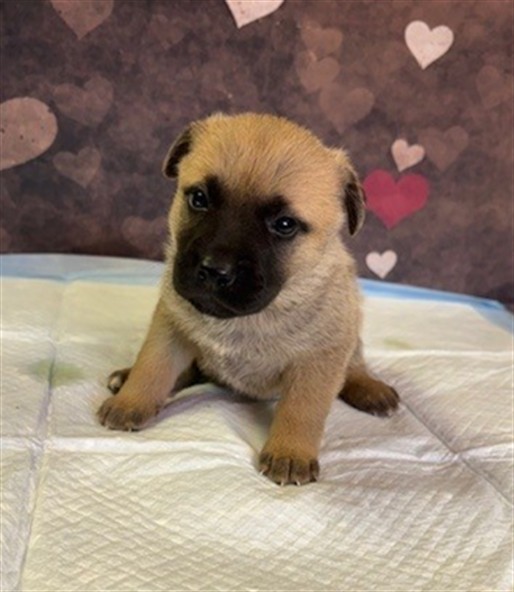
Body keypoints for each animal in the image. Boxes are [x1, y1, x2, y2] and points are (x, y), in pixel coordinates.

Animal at [97, 112, 399, 485]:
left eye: (284, 224)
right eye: (199, 199)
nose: (215, 270)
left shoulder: (319, 359)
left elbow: (302, 408)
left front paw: (290, 452)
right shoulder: (170, 326)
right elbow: (152, 367)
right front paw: (131, 401)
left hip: (350, 340)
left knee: (354, 367)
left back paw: (371, 389)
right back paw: (127, 378)